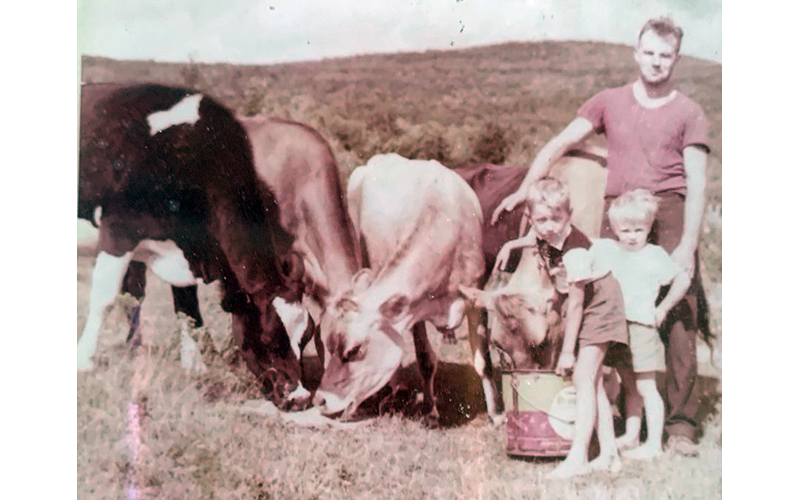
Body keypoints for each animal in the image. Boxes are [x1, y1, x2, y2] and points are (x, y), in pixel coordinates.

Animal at [78, 84, 304, 404]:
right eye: (271, 338)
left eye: (306, 338)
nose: (302, 397)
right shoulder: (118, 229)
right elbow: (105, 297)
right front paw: (82, 360)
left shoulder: (186, 249)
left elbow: (187, 305)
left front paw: (195, 366)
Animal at [310, 152, 488, 426]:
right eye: (329, 346)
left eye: (354, 350)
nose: (320, 400)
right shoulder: (415, 308)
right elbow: (425, 359)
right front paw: (431, 411)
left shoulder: (475, 295)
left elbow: (482, 361)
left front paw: (497, 413)